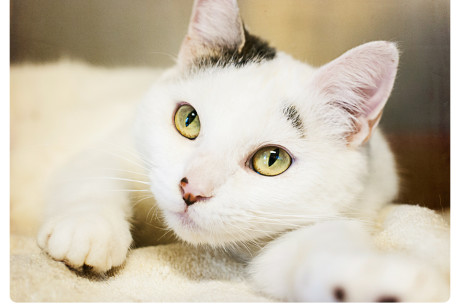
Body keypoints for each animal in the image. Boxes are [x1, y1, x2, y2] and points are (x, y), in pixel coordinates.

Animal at [36, 0, 450, 302]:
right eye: (188, 119)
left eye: (272, 160)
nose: (191, 189)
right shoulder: (118, 145)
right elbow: (93, 173)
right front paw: (87, 231)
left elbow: (318, 252)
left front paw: (378, 278)